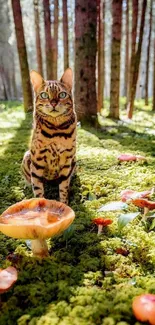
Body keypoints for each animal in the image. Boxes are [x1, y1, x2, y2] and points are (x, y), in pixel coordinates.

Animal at [22, 68, 76, 204]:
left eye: (62, 95)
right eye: (44, 95)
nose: (53, 103)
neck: (56, 131)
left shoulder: (67, 160)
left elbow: (63, 187)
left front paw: (64, 204)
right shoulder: (37, 160)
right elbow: (37, 189)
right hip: (27, 157)